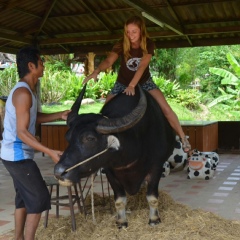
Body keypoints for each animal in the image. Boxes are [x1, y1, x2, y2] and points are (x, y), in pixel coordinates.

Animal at [54, 84, 174, 227]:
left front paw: (154, 219)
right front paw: (121, 221)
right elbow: (119, 199)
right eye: (68, 137)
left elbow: (152, 197)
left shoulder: (156, 166)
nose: (59, 172)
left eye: (90, 138)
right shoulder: (109, 170)